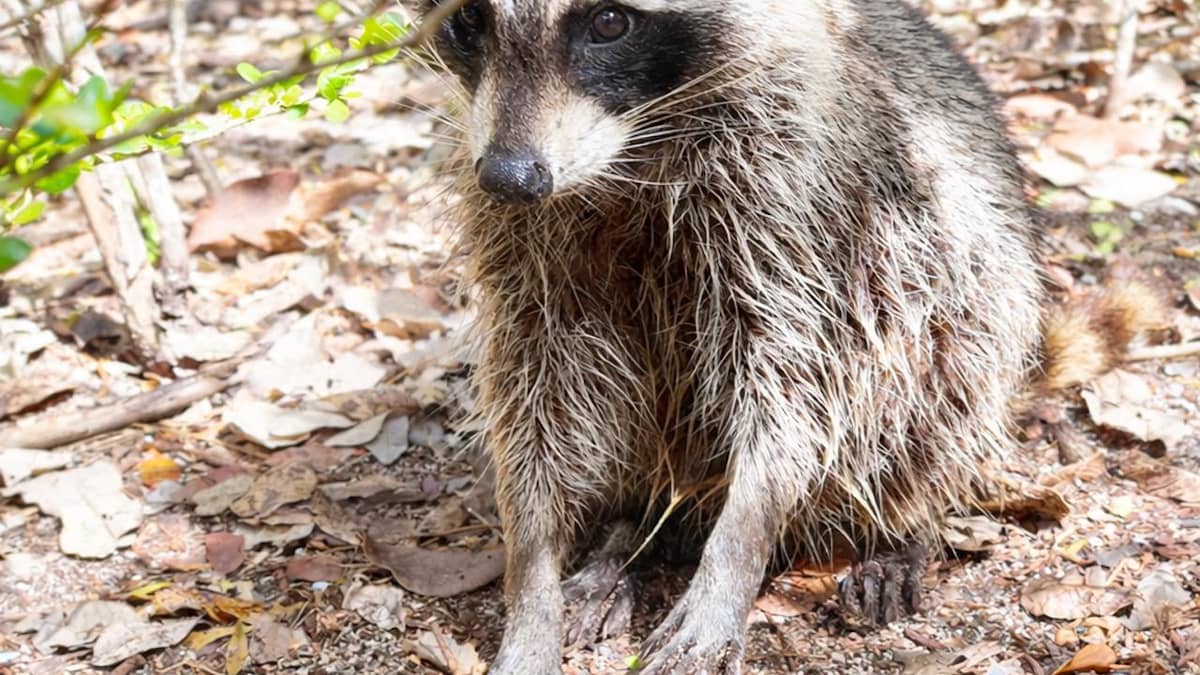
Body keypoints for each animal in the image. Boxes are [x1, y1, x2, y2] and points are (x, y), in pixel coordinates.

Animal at [407, 0, 1145, 672]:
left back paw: (899, 525)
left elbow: (799, 382)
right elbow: (535, 389)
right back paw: (630, 531)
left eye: (610, 23)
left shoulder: (795, 196)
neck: (632, 149)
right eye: (468, 22)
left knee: (940, 363)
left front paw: (738, 546)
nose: (511, 177)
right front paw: (533, 577)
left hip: (969, 279)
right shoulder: (521, 238)